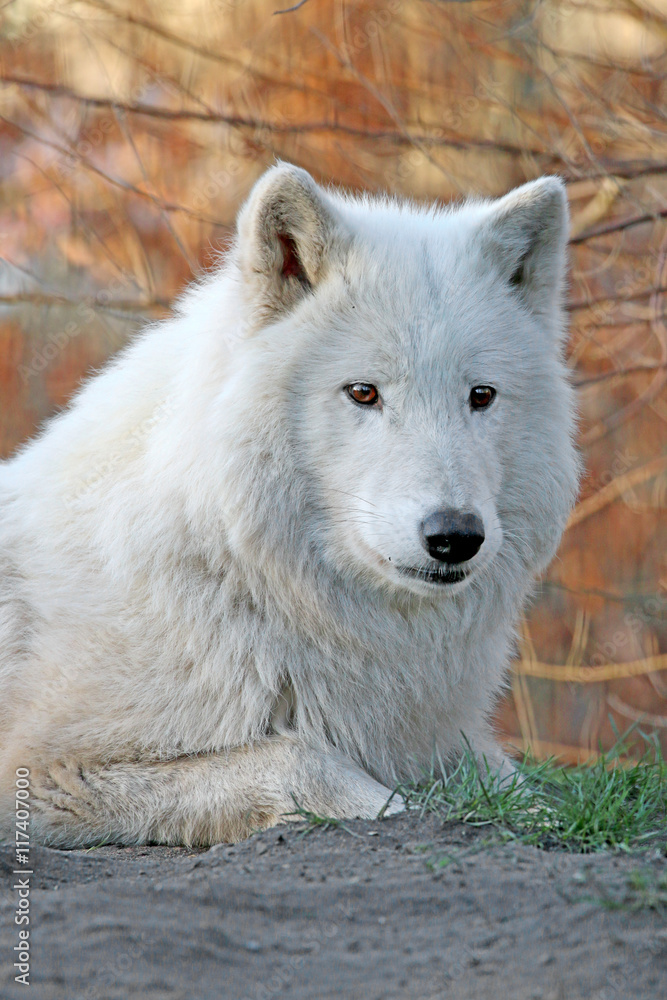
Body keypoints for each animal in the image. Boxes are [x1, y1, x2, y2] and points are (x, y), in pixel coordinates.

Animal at [0, 163, 579, 846]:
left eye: (481, 396)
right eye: (364, 392)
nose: (455, 536)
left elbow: (515, 784)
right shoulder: (48, 769)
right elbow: (298, 756)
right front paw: (395, 808)